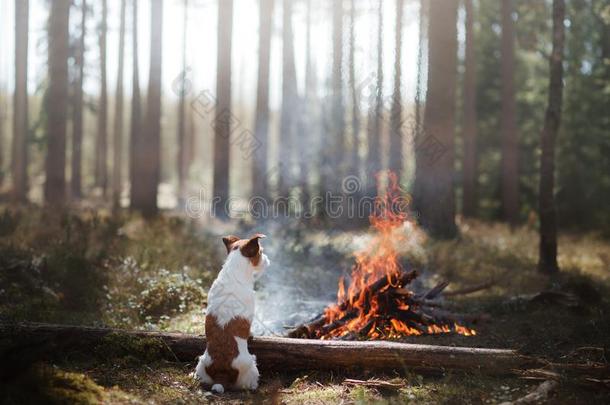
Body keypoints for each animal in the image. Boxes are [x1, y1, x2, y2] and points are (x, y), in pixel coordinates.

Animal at [195, 234, 268, 392]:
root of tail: (221, 374)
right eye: (261, 252)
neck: (234, 271)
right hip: (252, 364)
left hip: (201, 362)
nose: (267, 259)